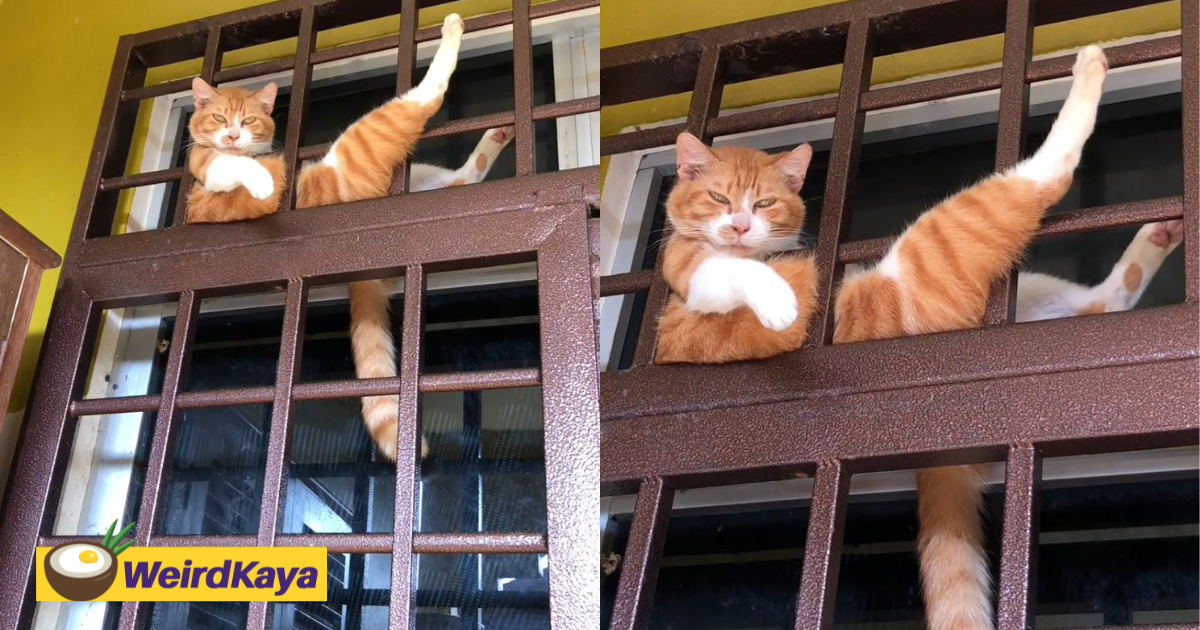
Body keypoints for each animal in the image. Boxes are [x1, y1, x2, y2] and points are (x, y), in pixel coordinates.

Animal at [652, 46, 1108, 628]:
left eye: (765, 205)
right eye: (717, 196)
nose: (738, 226)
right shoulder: (689, 285)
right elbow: (737, 274)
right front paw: (779, 300)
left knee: (1098, 296)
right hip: (939, 245)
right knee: (1044, 180)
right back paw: (1090, 73)